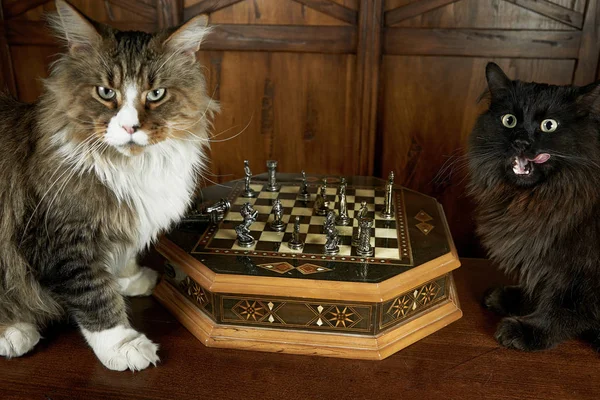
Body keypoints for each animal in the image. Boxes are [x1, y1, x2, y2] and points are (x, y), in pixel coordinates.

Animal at [0, 0, 217, 370]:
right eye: (106, 92)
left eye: (156, 94)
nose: (130, 127)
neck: (130, 167)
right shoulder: (62, 239)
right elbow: (95, 295)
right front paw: (123, 346)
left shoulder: (123, 221)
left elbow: (123, 256)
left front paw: (132, 279)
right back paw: (14, 332)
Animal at [468, 61, 600, 350]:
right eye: (509, 120)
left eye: (549, 125)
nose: (521, 141)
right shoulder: (541, 255)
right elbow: (537, 285)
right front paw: (510, 300)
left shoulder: (579, 269)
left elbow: (563, 307)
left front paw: (529, 330)